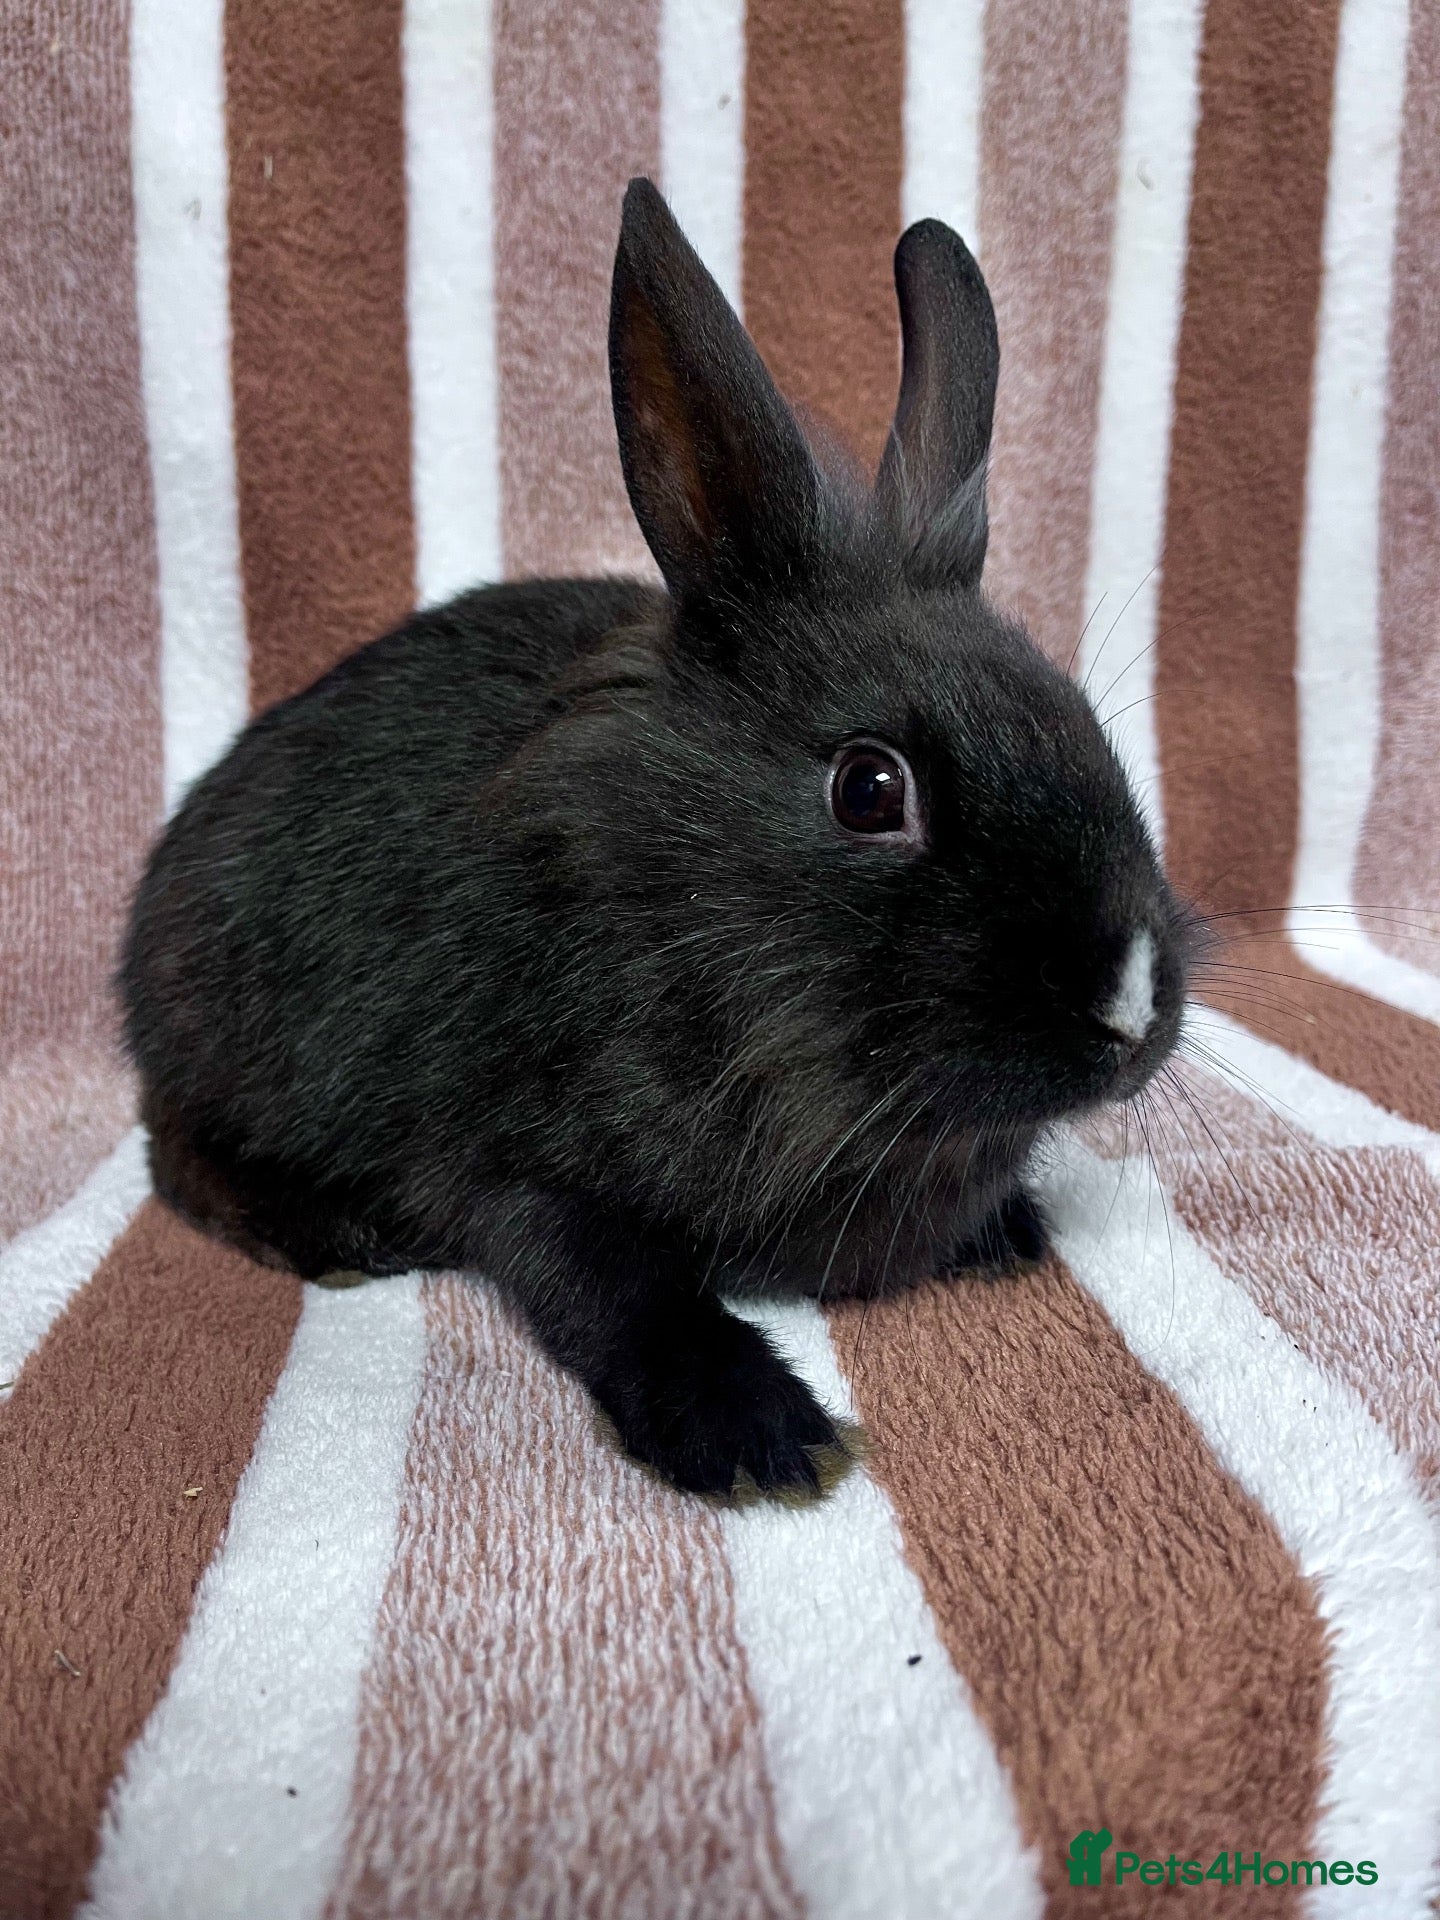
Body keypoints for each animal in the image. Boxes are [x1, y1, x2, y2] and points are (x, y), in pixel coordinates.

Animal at [120, 177, 1195, 1498]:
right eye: (869, 790)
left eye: (1085, 724)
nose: (1131, 1007)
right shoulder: (514, 1167)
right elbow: (612, 1288)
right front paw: (764, 1440)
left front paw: (1008, 1235)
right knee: (176, 1151)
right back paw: (334, 1231)